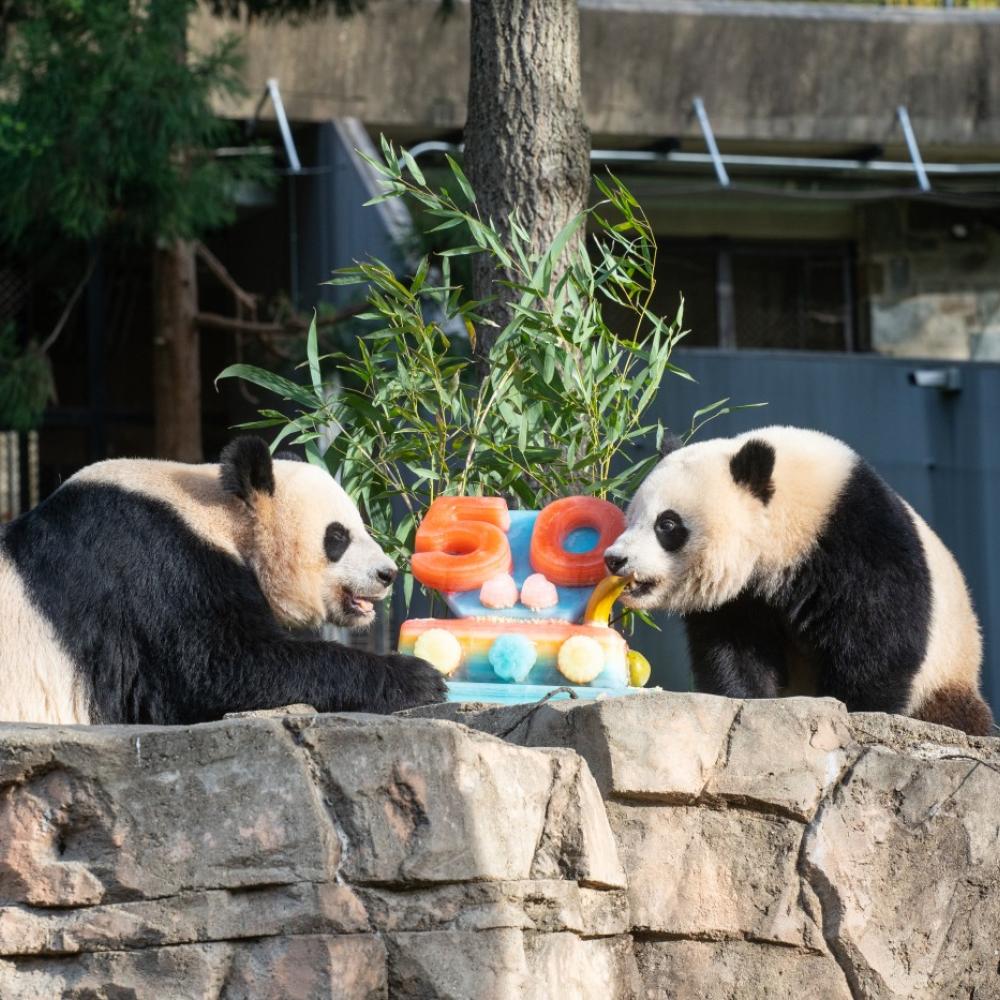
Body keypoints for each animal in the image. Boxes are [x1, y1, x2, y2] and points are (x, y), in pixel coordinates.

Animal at [0, 438, 446, 728]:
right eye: (337, 536)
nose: (387, 573)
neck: (216, 511)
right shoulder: (152, 565)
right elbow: (220, 669)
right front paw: (418, 677)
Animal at [600, 426, 992, 740]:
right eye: (631, 518)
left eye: (667, 524)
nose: (614, 559)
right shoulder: (741, 596)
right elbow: (733, 647)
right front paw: (746, 700)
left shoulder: (859, 538)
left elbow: (880, 636)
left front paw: (854, 709)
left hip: (946, 672)